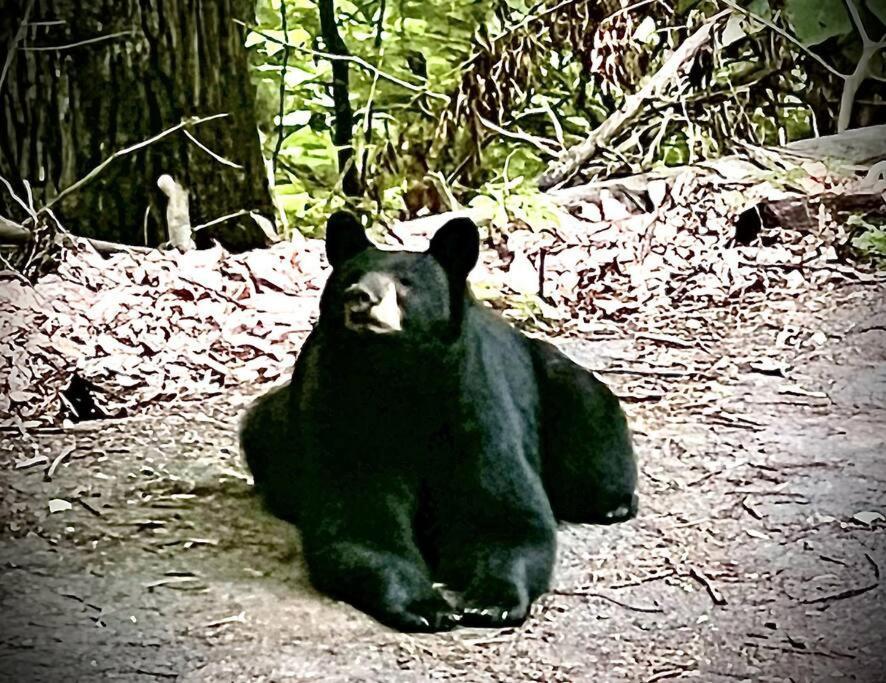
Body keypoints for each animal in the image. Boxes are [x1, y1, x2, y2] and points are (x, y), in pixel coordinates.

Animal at [239, 212, 636, 632]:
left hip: (564, 391)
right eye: (349, 277)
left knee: (593, 443)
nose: (360, 297)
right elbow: (359, 519)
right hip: (275, 426)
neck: (401, 377)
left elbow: (507, 512)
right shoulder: (342, 410)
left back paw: (614, 505)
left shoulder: (475, 403)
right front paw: (426, 606)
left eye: (405, 284)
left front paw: (491, 601)